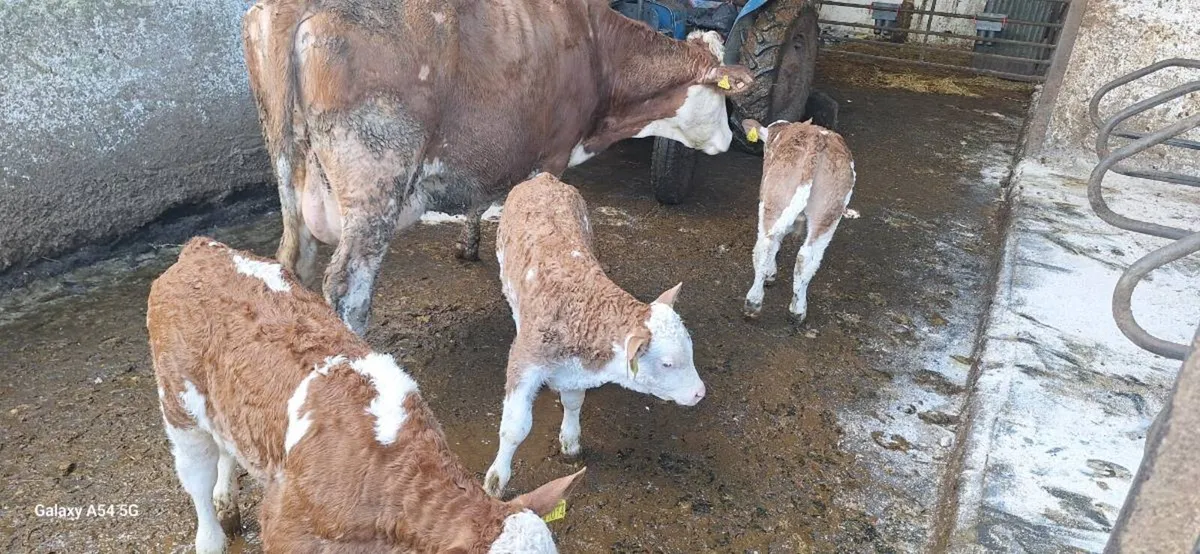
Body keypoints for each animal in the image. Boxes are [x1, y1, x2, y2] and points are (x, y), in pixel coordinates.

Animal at [148, 237, 584, 553]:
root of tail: (202, 249)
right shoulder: (286, 528)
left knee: (225, 445)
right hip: (177, 404)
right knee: (196, 476)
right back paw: (212, 534)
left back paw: (227, 502)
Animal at [241, 0, 754, 334]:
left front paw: (470, 246)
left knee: (293, 261)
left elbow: (478, 202)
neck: (596, 50)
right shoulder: (551, 155)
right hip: (376, 180)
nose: (733, 139)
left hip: (290, 171)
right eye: (723, 97)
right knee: (347, 288)